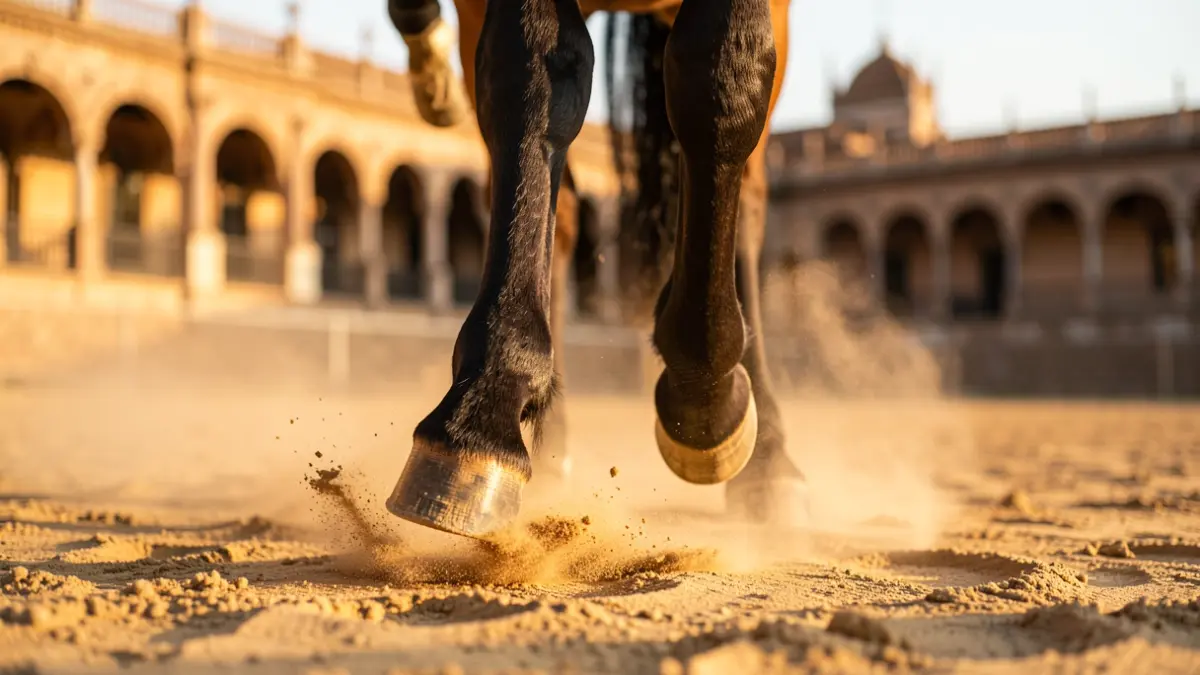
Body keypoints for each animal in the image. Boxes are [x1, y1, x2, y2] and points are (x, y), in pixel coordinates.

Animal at [384, 0, 806, 538]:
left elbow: (722, 77)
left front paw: (704, 404)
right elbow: (533, 74)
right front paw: (486, 409)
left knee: (750, 197)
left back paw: (767, 455)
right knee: (560, 210)